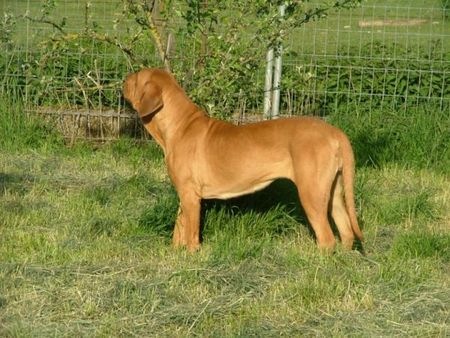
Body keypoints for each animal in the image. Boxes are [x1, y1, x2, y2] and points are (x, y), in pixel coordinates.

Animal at [123, 68, 362, 251]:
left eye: (135, 77)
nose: (124, 78)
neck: (180, 125)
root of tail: (335, 132)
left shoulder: (190, 195)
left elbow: (190, 233)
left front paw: (190, 257)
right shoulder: (184, 193)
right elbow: (178, 226)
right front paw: (175, 252)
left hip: (311, 192)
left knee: (327, 238)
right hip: (333, 192)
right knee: (346, 230)